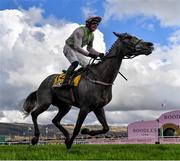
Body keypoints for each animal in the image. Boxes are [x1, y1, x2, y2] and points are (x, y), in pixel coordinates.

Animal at [23, 32, 154, 149]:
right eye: (129, 37)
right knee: (34, 114)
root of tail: (42, 83)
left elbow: (106, 128)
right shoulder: (84, 107)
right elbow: (77, 128)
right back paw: (35, 139)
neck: (100, 77)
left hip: (65, 106)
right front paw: (70, 143)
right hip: (45, 102)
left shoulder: (98, 107)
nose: (150, 44)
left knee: (55, 120)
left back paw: (66, 136)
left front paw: (86, 131)